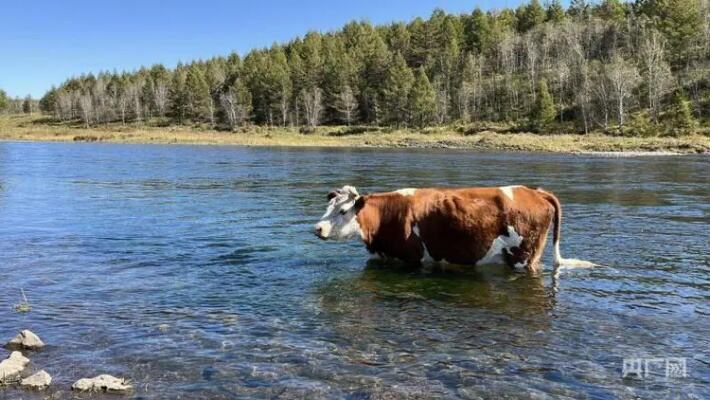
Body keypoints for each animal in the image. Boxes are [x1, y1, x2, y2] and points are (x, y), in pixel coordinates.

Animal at [312, 184, 596, 272]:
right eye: (328, 207)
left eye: (343, 211)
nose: (318, 228)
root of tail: (535, 191)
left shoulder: (412, 259)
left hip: (524, 257)